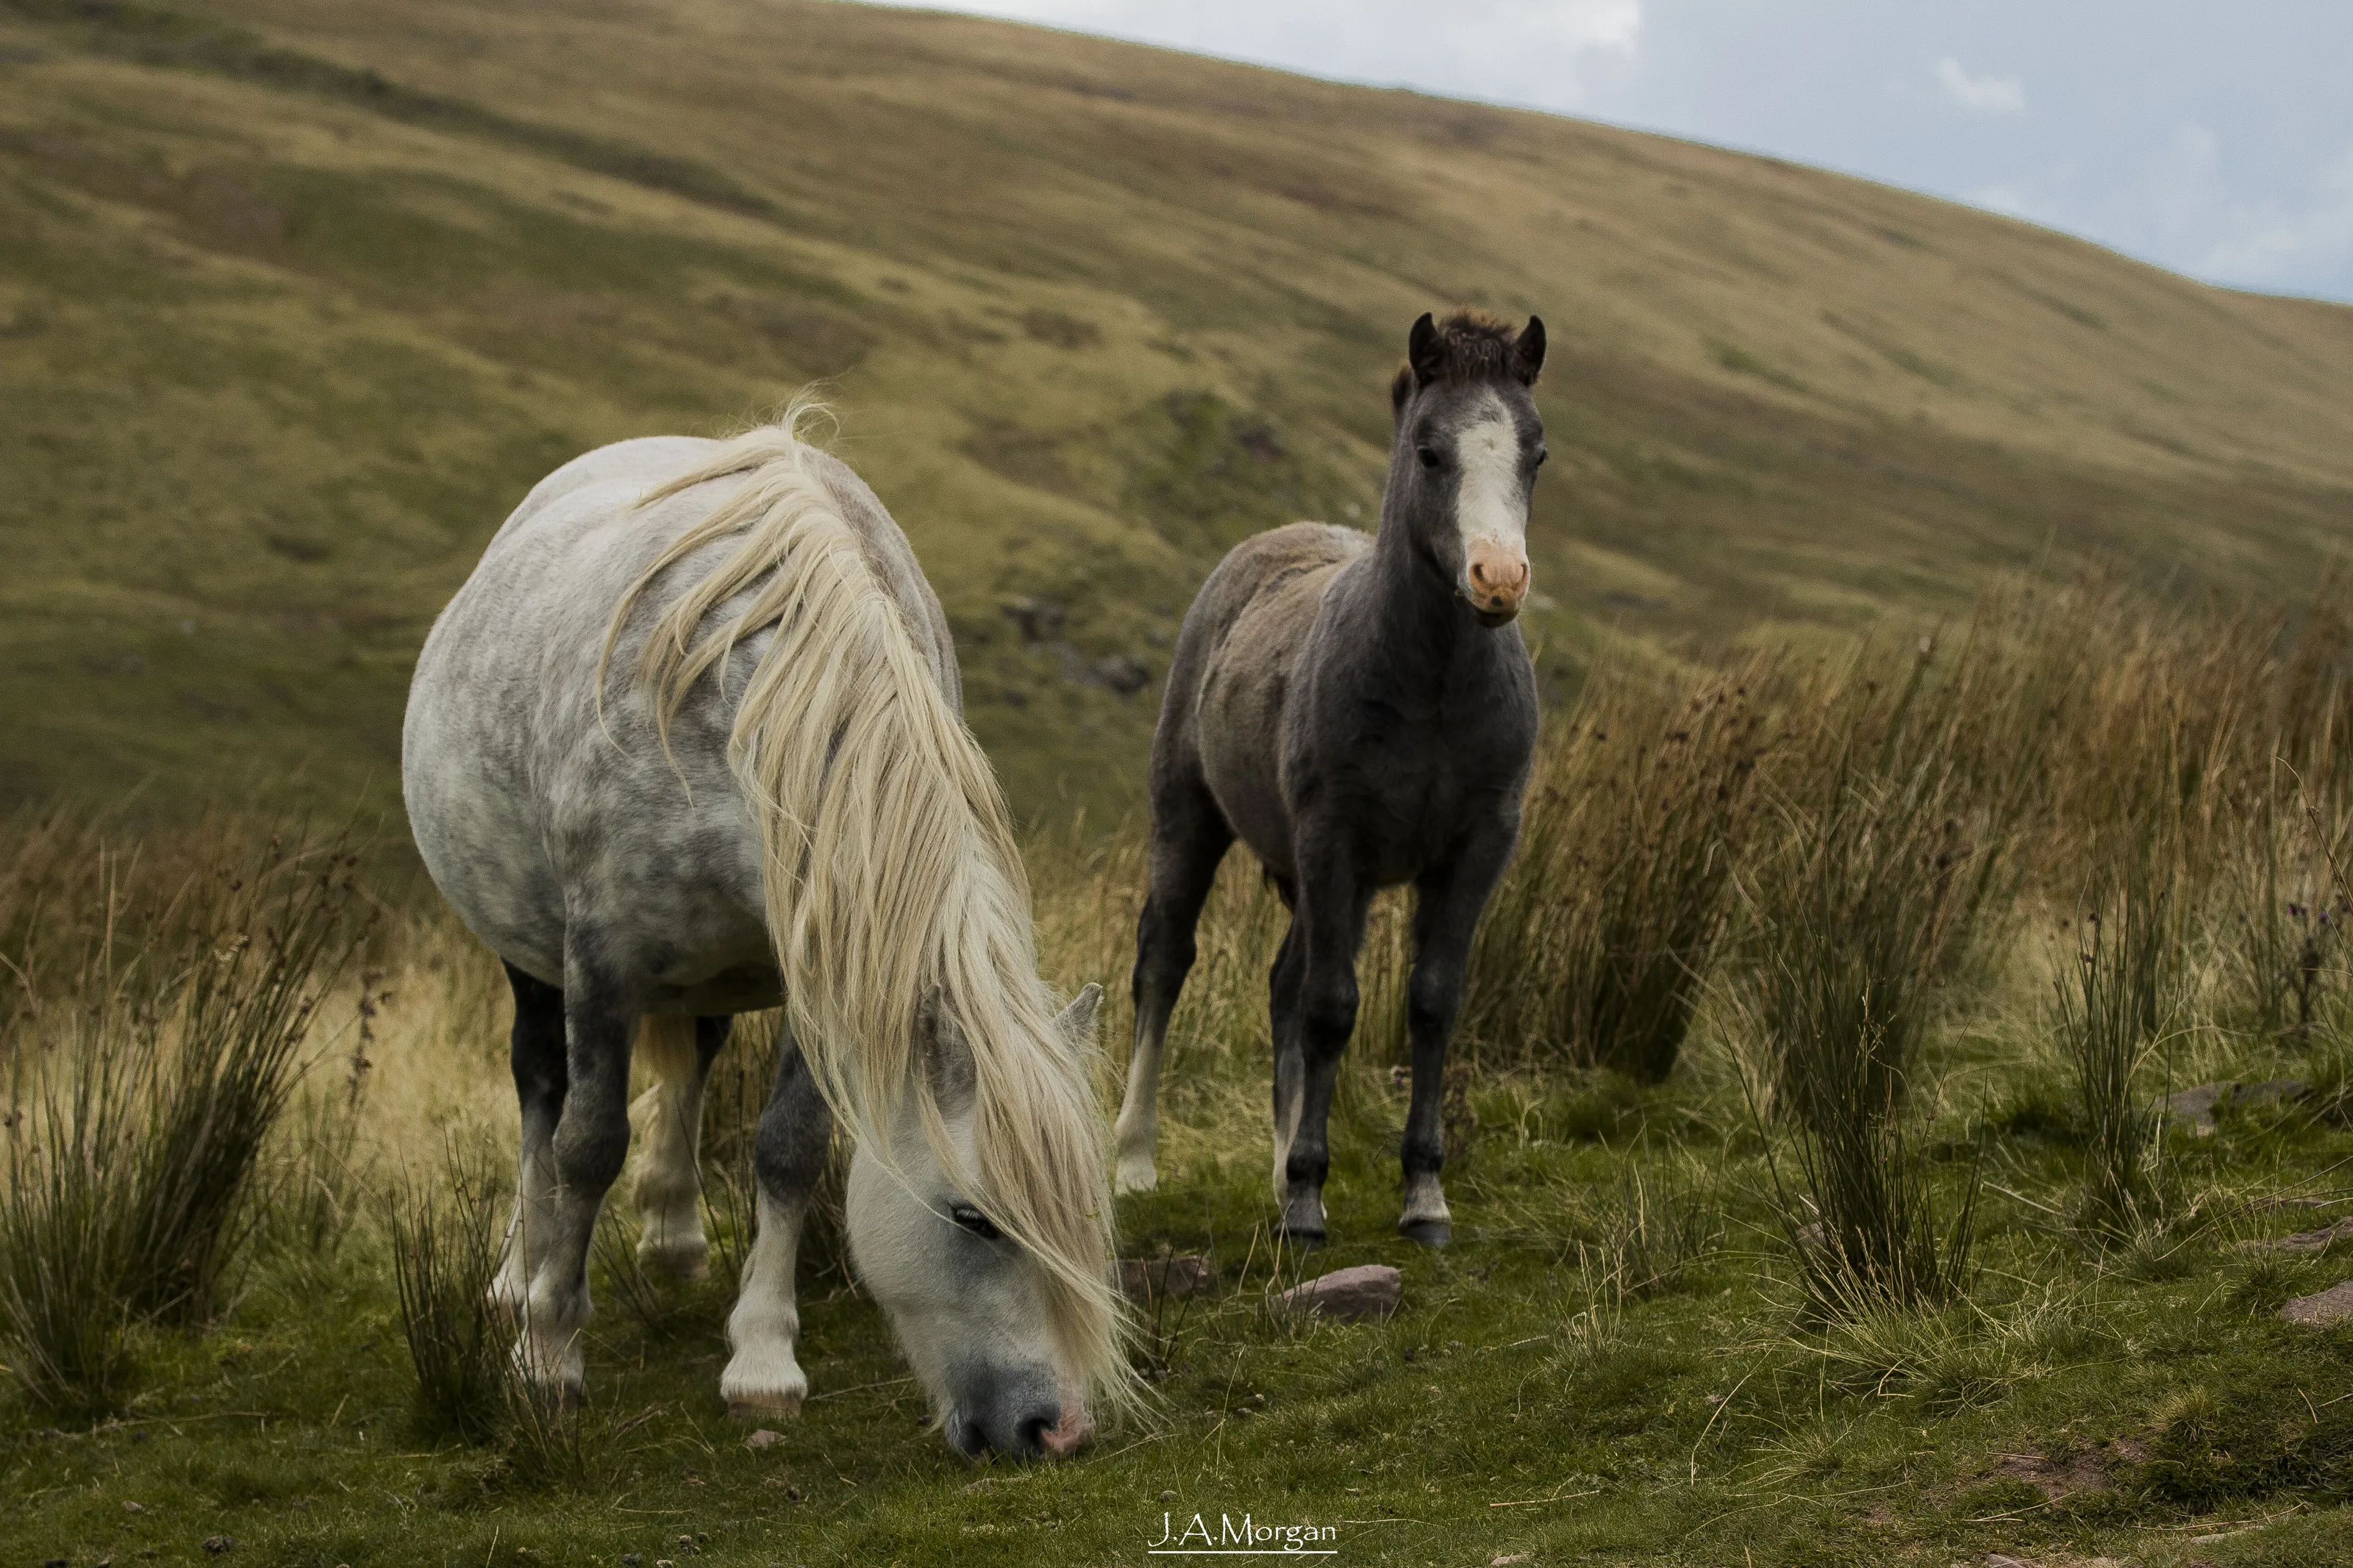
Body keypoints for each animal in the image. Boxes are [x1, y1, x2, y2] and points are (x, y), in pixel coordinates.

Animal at [401, 404, 1127, 1459]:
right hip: (524, 951)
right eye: (974, 1216)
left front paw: (762, 1361)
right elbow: (587, 1142)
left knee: (695, 1056)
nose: (1055, 1429)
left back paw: (672, 1233)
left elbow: (788, 1145)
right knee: (538, 1088)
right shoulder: (601, 963)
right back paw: (516, 1272)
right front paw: (547, 1356)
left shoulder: (818, 966)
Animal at [1112, 311, 1546, 1246]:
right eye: (1429, 451)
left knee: (1280, 983)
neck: (1430, 690)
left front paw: (1421, 1196)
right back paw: (1134, 1162)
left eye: (1535, 453)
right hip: (1189, 821)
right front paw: (1310, 1204)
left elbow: (1428, 1002)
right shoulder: (1331, 842)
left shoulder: (1476, 847)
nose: (1498, 580)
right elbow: (1331, 1007)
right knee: (1165, 961)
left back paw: (1278, 1173)